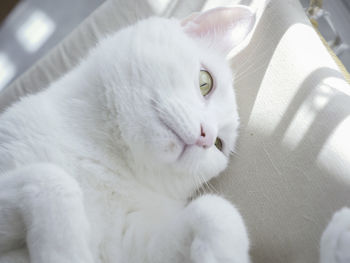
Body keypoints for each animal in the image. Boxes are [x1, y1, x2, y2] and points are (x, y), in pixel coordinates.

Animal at [0, 6, 258, 263]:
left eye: (219, 145)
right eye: (206, 82)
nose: (206, 136)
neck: (104, 158)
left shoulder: (129, 244)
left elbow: (216, 209)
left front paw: (223, 253)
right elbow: (49, 179)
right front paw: (66, 252)